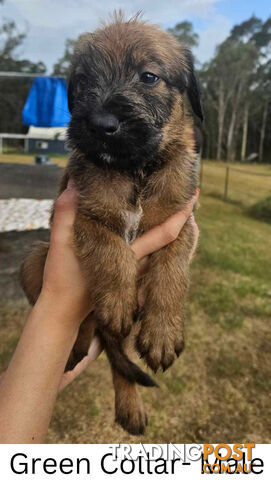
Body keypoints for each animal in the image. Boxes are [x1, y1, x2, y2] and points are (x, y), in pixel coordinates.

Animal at [20, 13, 203, 436]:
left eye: (149, 77)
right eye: (84, 80)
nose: (101, 123)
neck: (134, 170)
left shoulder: (182, 223)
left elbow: (171, 271)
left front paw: (163, 330)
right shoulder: (85, 214)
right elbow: (113, 249)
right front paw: (118, 299)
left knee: (114, 349)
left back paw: (129, 407)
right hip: (35, 258)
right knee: (104, 338)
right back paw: (80, 345)